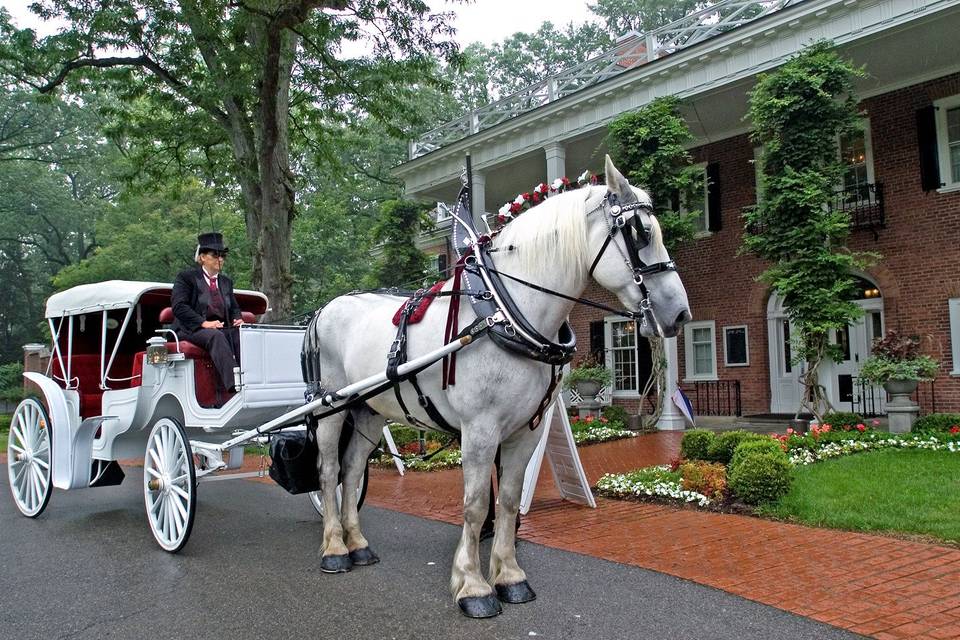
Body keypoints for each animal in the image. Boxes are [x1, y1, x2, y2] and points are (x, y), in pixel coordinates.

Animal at [304, 158, 688, 616]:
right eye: (641, 232)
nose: (679, 313)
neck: (504, 314)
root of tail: (323, 309)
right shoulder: (480, 429)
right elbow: (475, 506)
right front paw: (473, 586)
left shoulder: (527, 430)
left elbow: (506, 499)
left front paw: (509, 576)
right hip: (330, 407)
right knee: (328, 470)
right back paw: (333, 549)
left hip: (369, 411)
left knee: (352, 468)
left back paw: (358, 543)